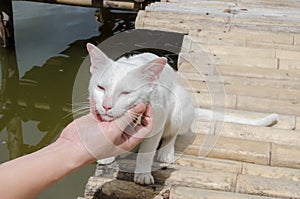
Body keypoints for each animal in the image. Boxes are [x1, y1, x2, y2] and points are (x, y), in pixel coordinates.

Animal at [85, 43, 278, 185]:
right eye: (101, 88)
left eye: (126, 92)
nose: (106, 106)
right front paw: (107, 155)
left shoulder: (158, 119)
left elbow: (147, 151)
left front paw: (142, 175)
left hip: (178, 106)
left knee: (173, 134)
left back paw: (166, 152)